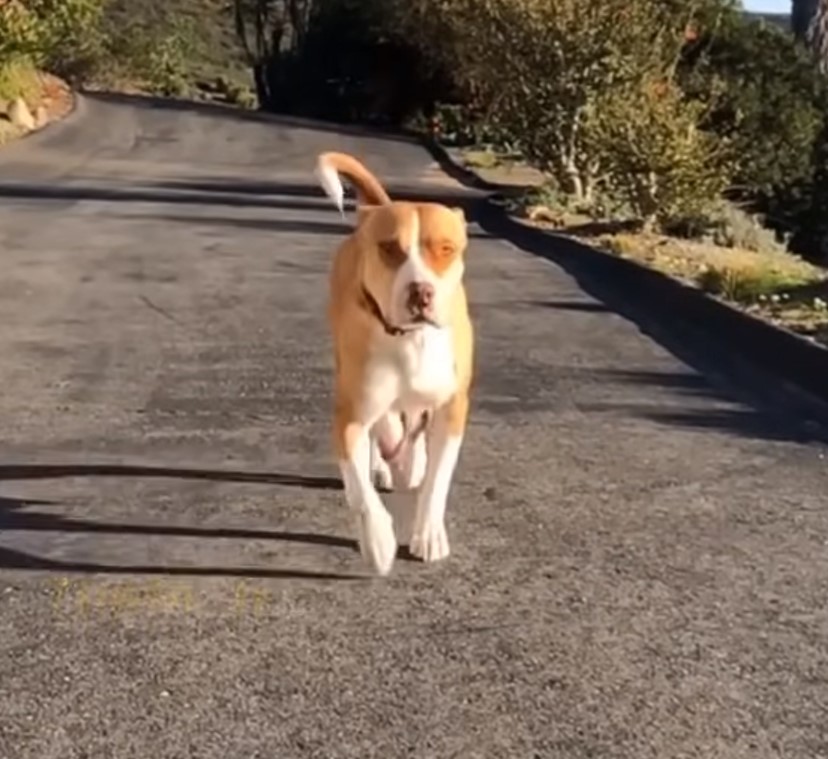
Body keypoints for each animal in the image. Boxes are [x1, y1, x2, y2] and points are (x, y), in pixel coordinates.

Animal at [316, 150, 476, 576]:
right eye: (389, 248)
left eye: (446, 249)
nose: (421, 292)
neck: (410, 338)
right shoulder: (350, 416)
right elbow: (360, 491)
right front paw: (378, 542)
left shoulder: (453, 410)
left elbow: (438, 481)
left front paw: (429, 535)